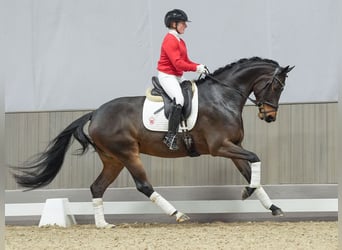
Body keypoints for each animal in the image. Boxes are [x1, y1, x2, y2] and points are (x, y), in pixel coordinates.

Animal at [14, 57, 294, 229]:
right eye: (276, 86)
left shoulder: (233, 147)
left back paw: (103, 224)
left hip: (112, 159)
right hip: (128, 154)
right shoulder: (220, 147)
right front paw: (248, 192)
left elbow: (251, 171)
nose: (269, 116)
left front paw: (273, 207)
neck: (222, 96)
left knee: (97, 187)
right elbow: (256, 158)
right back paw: (178, 214)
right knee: (143, 185)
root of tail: (95, 113)